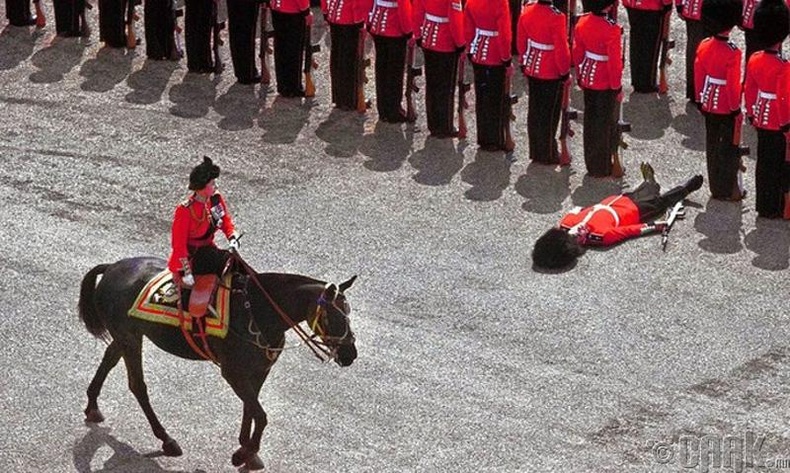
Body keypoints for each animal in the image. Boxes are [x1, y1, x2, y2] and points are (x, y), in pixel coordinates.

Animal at [78, 256, 358, 470]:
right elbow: (260, 415)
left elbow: (251, 409)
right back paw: (166, 439)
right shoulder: (233, 373)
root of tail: (112, 267)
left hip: (125, 338)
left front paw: (247, 450)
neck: (257, 311)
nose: (350, 354)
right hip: (130, 339)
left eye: (349, 313)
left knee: (109, 360)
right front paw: (244, 452)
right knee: (138, 385)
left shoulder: (259, 372)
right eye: (334, 316)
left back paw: (92, 405)